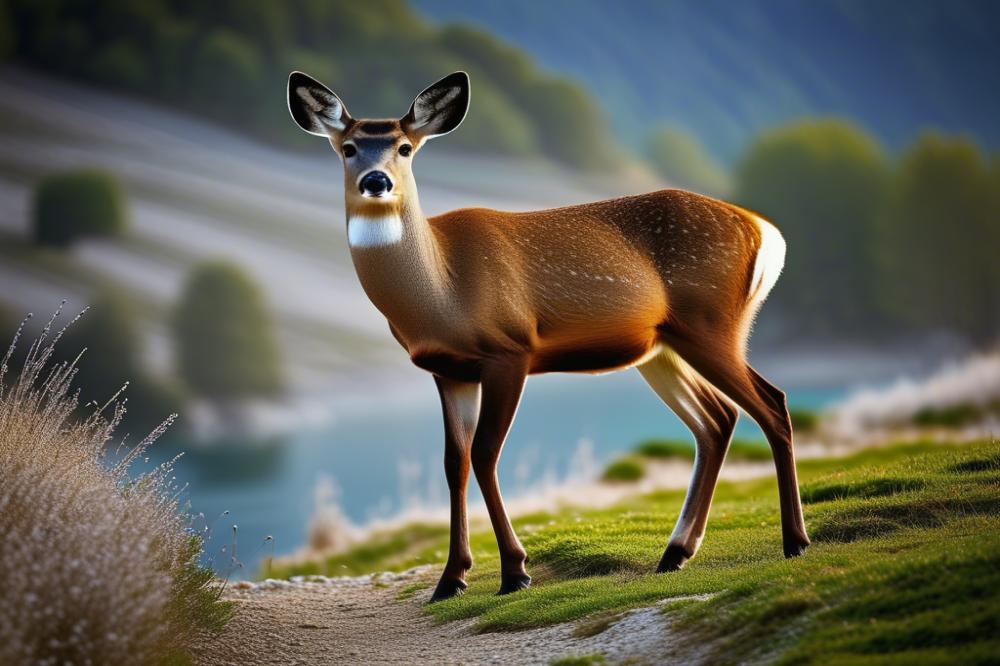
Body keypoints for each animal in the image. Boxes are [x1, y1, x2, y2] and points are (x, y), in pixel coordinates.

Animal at [287, 70, 810, 601]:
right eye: (349, 147)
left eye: (405, 147)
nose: (377, 181)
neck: (441, 292)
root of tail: (768, 233)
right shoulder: (447, 370)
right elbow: (454, 462)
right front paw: (451, 579)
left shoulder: (509, 350)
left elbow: (485, 454)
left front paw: (515, 571)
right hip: (661, 348)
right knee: (718, 419)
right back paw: (675, 553)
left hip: (712, 324)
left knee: (771, 404)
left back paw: (795, 542)